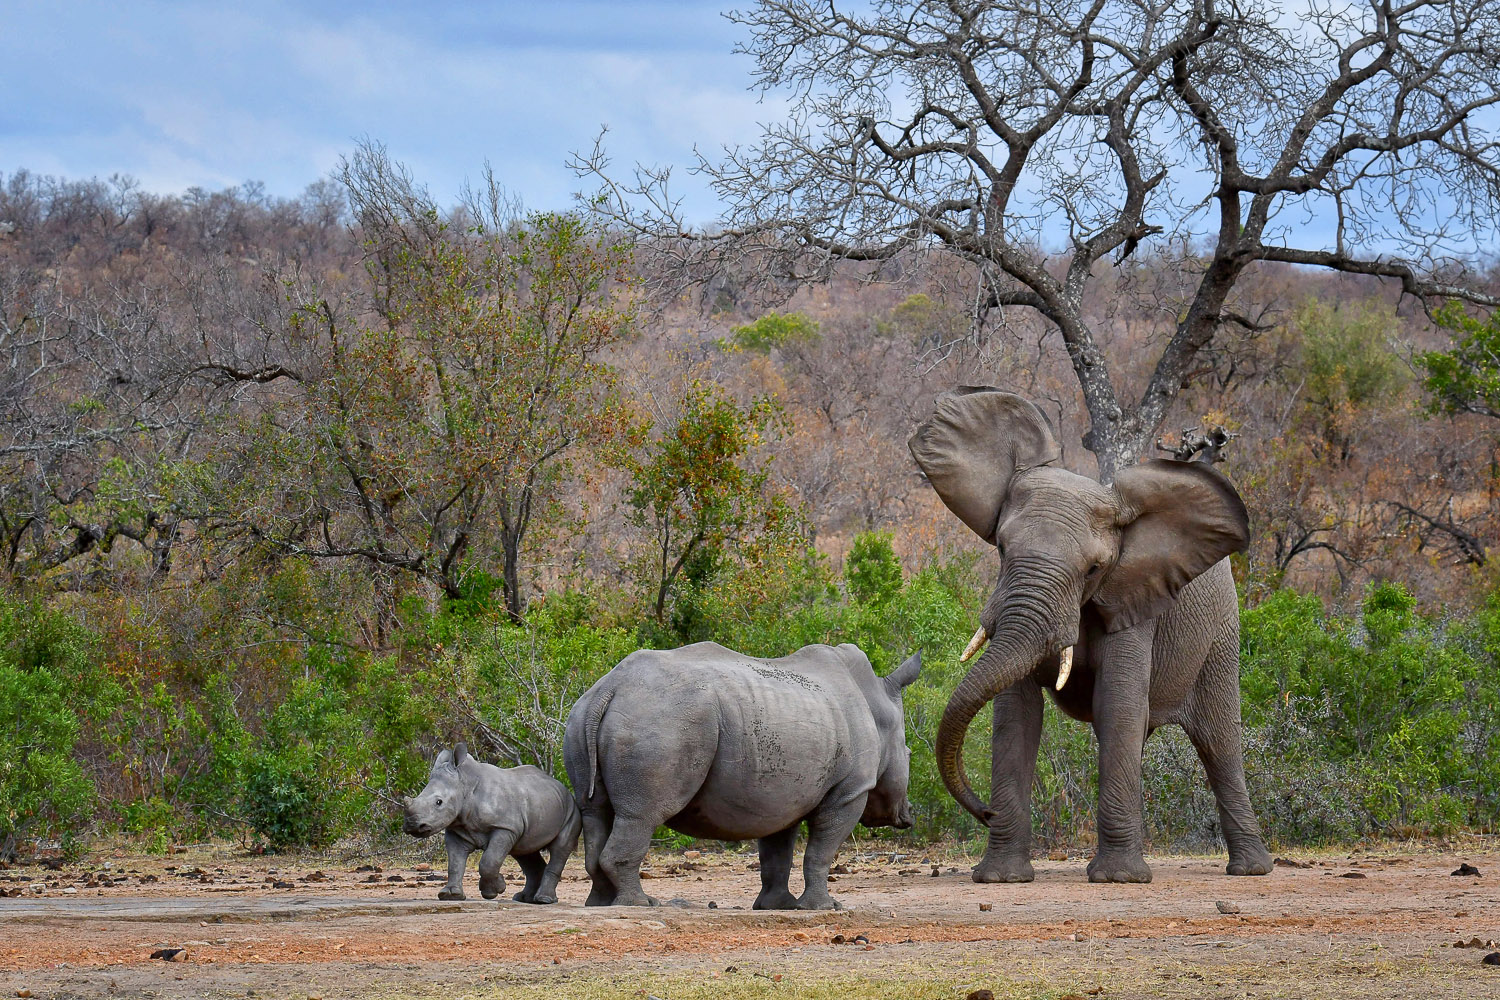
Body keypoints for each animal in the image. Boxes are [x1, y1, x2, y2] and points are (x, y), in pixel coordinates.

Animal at [403, 743, 580, 903]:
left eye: (439, 802)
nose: (413, 826)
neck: (465, 784)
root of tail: (561, 786)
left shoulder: (504, 827)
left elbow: (489, 861)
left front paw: (494, 891)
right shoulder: (457, 829)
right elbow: (454, 863)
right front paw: (450, 896)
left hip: (571, 810)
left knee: (559, 848)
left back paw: (544, 900)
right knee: (524, 851)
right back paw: (525, 899)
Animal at [563, 642, 921, 909]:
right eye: (909, 755)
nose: (909, 814)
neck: (878, 707)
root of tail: (610, 688)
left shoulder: (783, 796)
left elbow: (777, 853)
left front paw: (778, 906)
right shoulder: (850, 790)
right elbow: (822, 849)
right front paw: (825, 908)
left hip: (585, 717)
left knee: (595, 811)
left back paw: (600, 904)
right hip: (661, 721)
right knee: (642, 815)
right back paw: (641, 904)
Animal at [908, 387, 1273, 884]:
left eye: (1094, 569)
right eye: (1001, 548)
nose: (985, 812)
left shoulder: (1133, 604)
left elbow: (1116, 706)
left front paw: (1119, 879)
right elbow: (1017, 716)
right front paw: (1002, 878)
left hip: (1220, 634)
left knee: (1219, 742)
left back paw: (1251, 870)